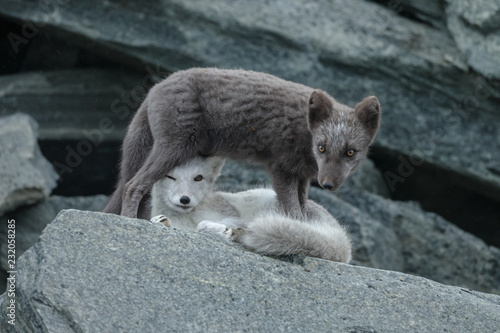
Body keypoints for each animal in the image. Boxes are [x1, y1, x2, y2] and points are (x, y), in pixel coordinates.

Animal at [103, 67, 380, 218]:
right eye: (322, 147)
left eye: (350, 152)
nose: (328, 184)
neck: (305, 131)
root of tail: (154, 88)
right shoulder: (282, 169)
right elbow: (293, 211)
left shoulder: (302, 176)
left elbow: (302, 209)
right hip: (175, 147)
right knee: (132, 186)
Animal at [148, 156, 352, 262]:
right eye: (170, 177)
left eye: (198, 178)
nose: (185, 199)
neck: (187, 217)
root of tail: (344, 243)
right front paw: (162, 221)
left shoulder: (231, 213)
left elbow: (214, 224)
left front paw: (224, 230)